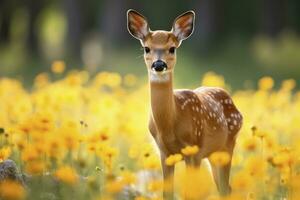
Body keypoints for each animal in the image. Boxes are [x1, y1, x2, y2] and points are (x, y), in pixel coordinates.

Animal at [126, 9, 241, 198]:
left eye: (172, 48)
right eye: (146, 48)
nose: (159, 64)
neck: (170, 123)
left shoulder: (194, 149)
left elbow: (191, 193)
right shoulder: (164, 153)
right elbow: (167, 193)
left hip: (228, 145)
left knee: (226, 188)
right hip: (213, 154)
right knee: (226, 188)